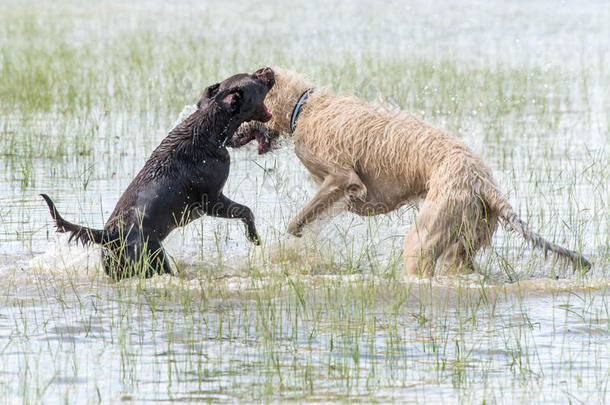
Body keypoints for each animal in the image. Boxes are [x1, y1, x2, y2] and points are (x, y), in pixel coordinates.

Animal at [236, 67, 588, 274]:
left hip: (427, 234)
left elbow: (300, 219)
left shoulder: (341, 179)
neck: (305, 106)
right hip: (467, 238)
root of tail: (482, 181)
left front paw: (290, 240)